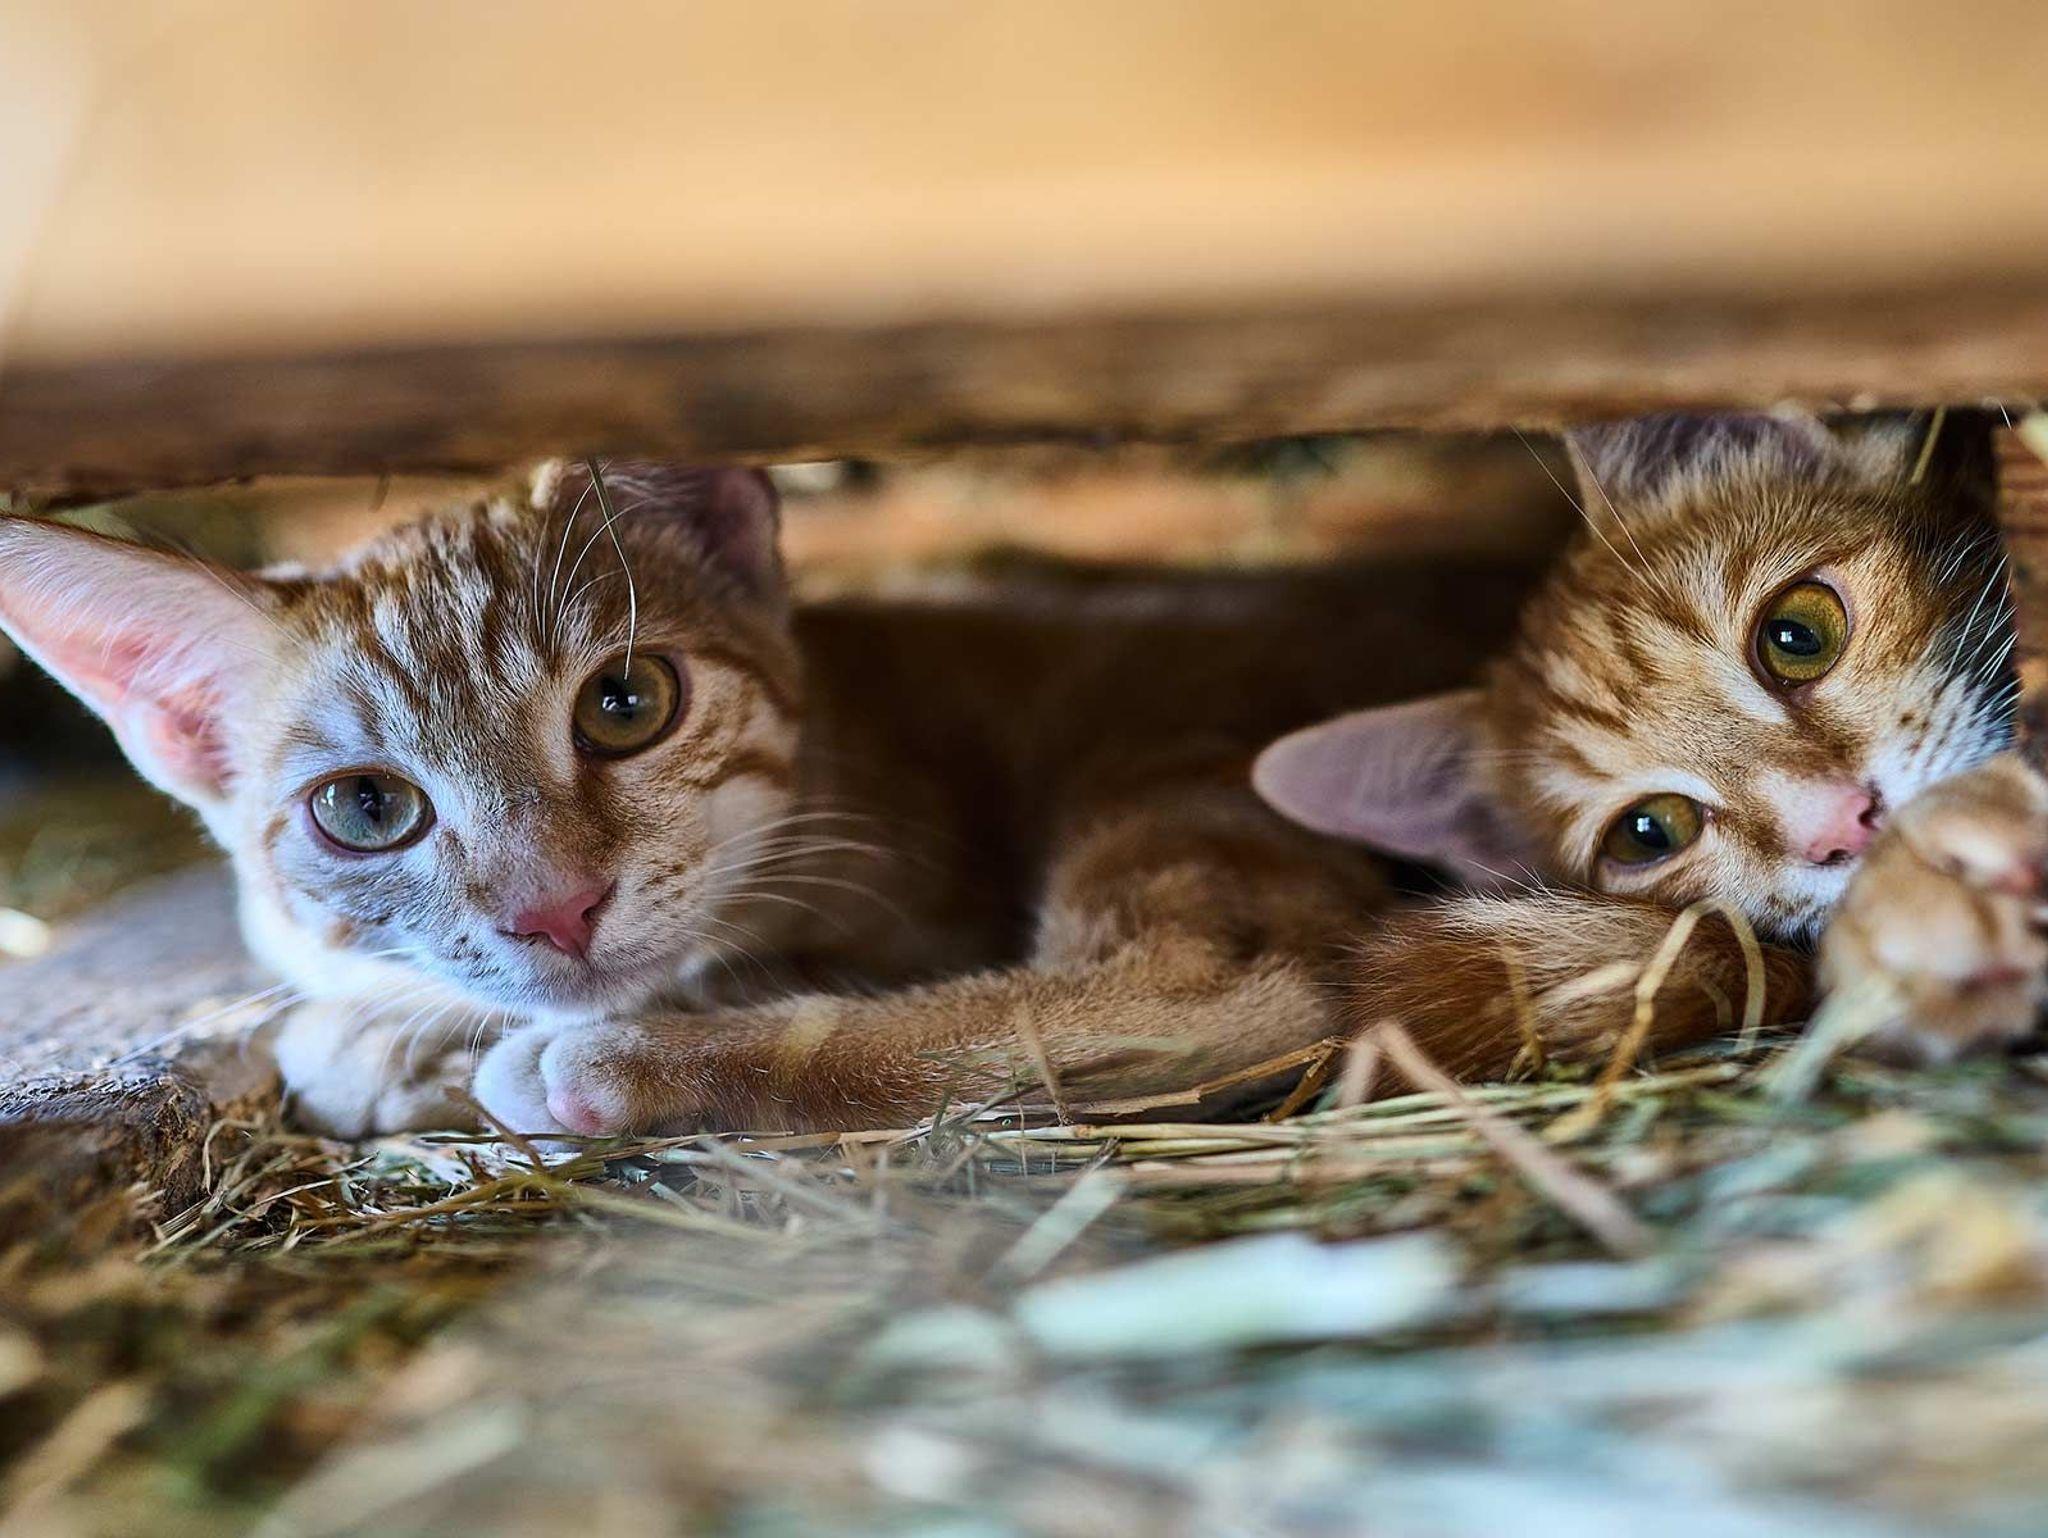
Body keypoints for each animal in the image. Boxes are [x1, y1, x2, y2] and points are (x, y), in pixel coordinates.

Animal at [0, 461, 1538, 1136]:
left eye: (626, 704)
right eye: (366, 810)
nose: (554, 910)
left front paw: (418, 1038)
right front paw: (402, 1022)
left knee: (1223, 984)